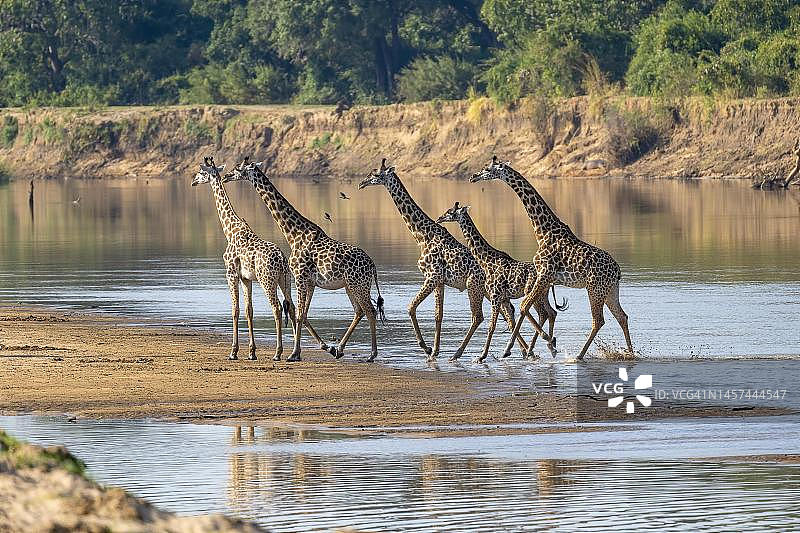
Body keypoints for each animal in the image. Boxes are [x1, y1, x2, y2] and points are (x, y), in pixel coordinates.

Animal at [191, 157, 296, 361]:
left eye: (201, 172)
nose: (193, 182)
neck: (229, 230)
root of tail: (281, 259)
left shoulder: (231, 273)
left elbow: (235, 310)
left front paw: (233, 351)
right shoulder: (246, 278)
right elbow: (249, 310)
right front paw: (251, 352)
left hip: (267, 280)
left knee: (277, 308)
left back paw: (278, 353)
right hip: (285, 280)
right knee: (293, 308)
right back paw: (296, 352)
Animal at [223, 158, 386, 362]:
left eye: (239, 169)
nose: (226, 176)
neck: (293, 234)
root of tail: (372, 266)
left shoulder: (300, 276)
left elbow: (300, 314)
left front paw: (293, 353)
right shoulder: (310, 281)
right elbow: (303, 313)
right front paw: (303, 350)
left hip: (359, 285)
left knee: (370, 310)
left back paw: (371, 354)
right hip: (351, 285)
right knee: (360, 310)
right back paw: (339, 349)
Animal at [359, 159, 550, 361]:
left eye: (376, 175)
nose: (361, 183)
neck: (422, 235)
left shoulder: (432, 276)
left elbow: (411, 306)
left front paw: (426, 348)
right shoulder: (439, 281)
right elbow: (438, 314)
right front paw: (434, 350)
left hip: (478, 288)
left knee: (485, 316)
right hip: (492, 292)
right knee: (509, 314)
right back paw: (524, 351)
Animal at [436, 201, 567, 363]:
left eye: (450, 212)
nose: (439, 218)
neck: (487, 261)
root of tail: (550, 278)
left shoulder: (495, 296)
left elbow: (492, 326)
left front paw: (481, 356)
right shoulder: (503, 298)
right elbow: (508, 322)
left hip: (532, 292)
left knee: (539, 312)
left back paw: (546, 342)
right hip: (542, 294)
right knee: (550, 312)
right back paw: (548, 345)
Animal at [471, 157, 634, 360]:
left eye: (487, 169)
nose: (473, 176)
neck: (542, 230)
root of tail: (617, 270)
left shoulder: (544, 274)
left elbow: (524, 306)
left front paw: (511, 348)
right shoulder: (545, 278)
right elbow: (531, 308)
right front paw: (540, 345)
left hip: (595, 289)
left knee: (598, 320)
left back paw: (579, 355)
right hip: (611, 290)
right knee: (622, 316)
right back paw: (630, 353)